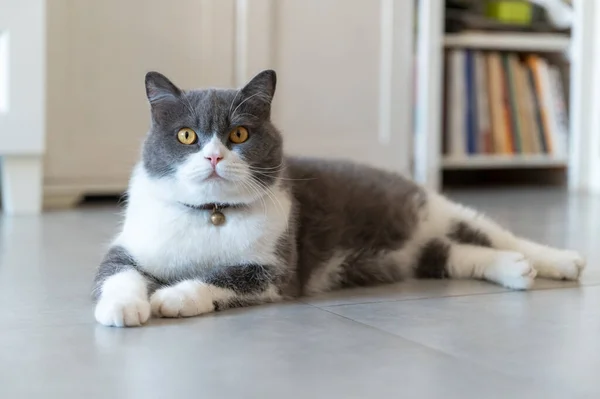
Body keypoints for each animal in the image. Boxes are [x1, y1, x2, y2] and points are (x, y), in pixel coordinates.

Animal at [94, 69, 584, 328]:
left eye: (239, 135)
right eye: (186, 136)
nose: (214, 155)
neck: (213, 215)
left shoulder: (275, 269)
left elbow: (224, 277)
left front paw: (174, 297)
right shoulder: (131, 244)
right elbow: (116, 271)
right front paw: (123, 307)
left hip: (439, 209)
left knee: (497, 235)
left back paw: (560, 261)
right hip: (415, 254)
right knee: (453, 254)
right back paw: (515, 270)